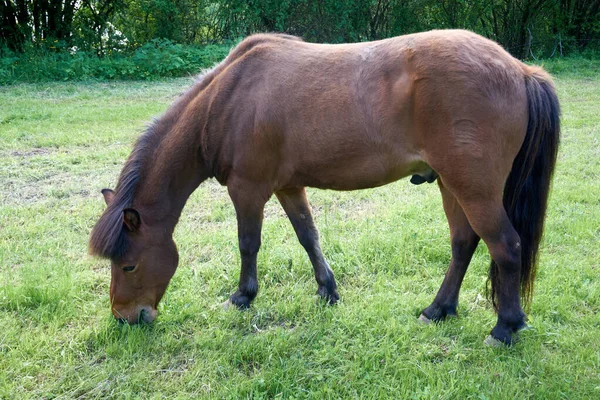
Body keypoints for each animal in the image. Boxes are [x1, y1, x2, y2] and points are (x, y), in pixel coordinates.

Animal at [88, 29, 556, 346]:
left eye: (128, 265)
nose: (125, 318)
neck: (228, 100)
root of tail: (520, 69)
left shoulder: (248, 190)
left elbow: (248, 244)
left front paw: (243, 297)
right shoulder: (289, 187)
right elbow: (308, 236)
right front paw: (327, 290)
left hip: (472, 188)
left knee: (506, 246)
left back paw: (504, 327)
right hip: (451, 185)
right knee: (463, 243)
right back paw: (438, 310)